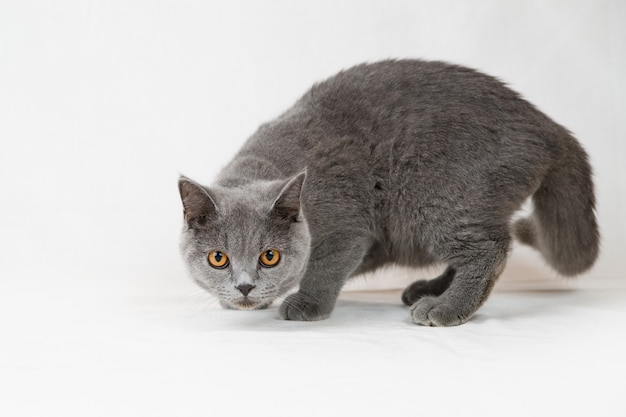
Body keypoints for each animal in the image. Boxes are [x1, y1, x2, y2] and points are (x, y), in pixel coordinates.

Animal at [178, 58, 596, 324]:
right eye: (218, 259)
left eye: (269, 257)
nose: (245, 287)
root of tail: (549, 127)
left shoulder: (346, 226)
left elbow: (324, 265)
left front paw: (306, 304)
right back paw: (427, 290)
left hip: (436, 199)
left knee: (491, 248)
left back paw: (444, 308)